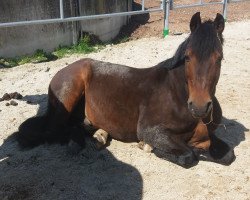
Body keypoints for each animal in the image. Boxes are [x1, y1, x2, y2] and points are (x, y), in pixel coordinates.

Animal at [17, 12, 234, 167]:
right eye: (188, 57)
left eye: (219, 58)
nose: (199, 107)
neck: (178, 94)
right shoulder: (150, 130)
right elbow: (189, 155)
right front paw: (150, 147)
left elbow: (227, 154)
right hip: (68, 95)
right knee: (54, 130)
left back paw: (97, 135)